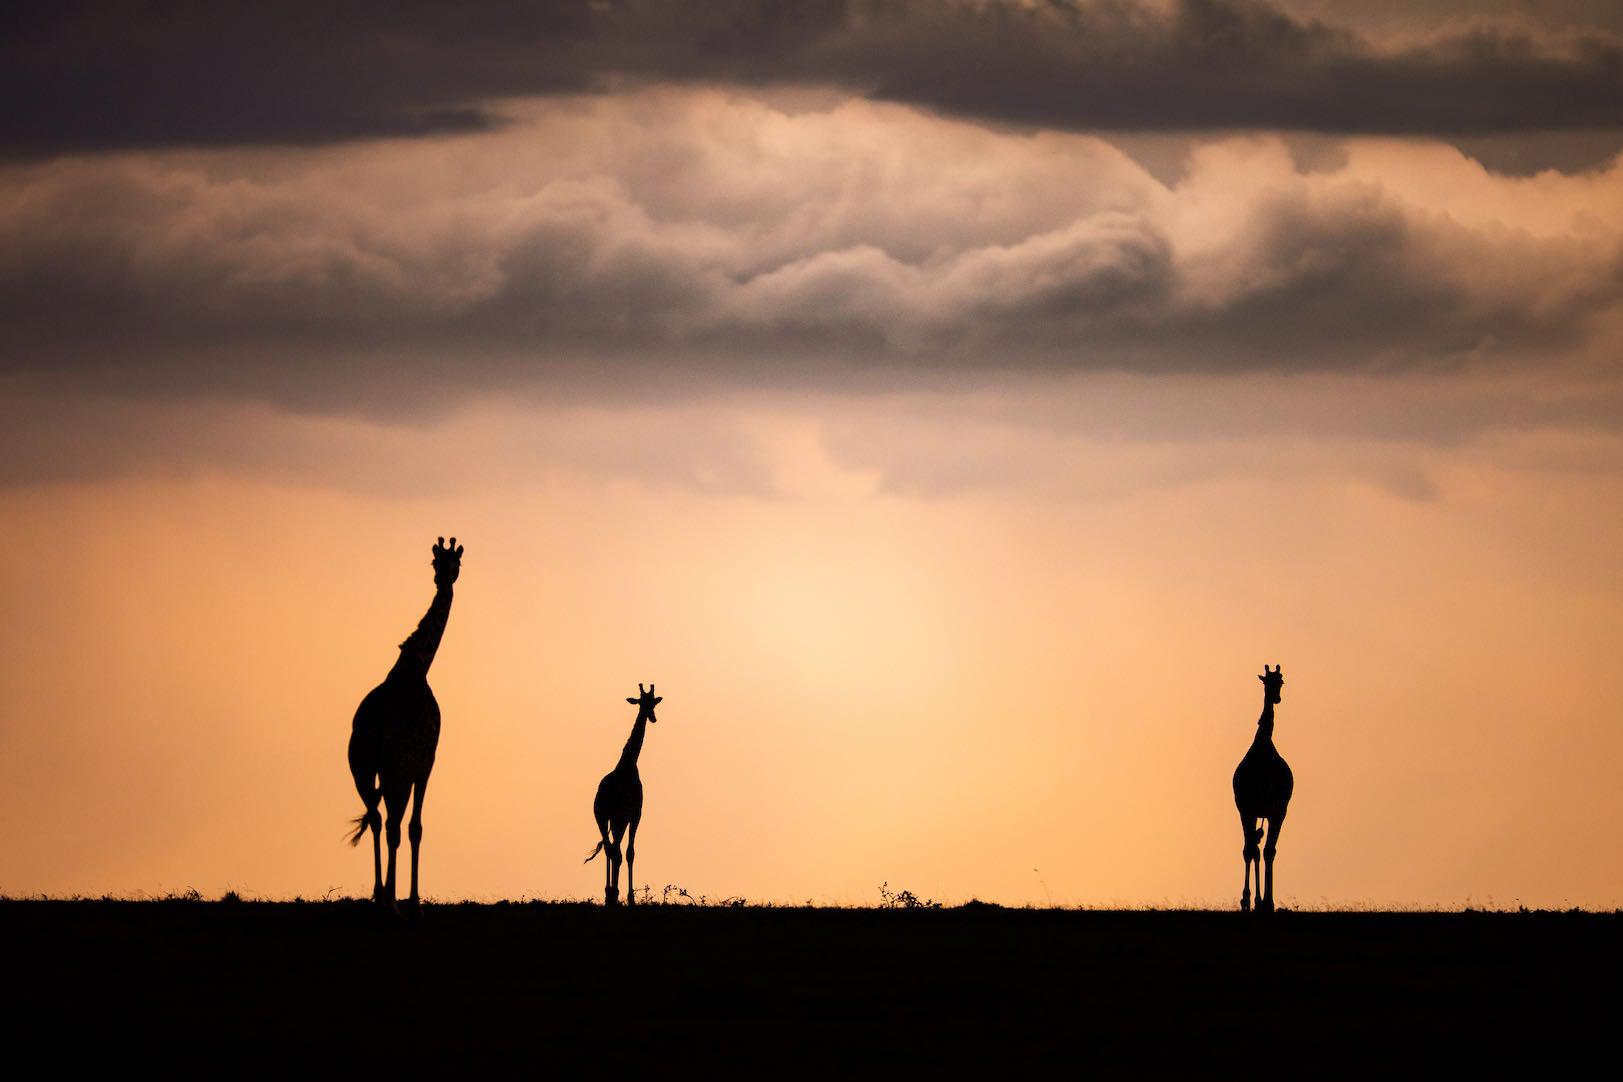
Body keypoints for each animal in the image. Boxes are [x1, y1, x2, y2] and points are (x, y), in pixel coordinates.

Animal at [346, 536, 463, 913]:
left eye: (455, 563)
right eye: (435, 562)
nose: (444, 580)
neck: (414, 668)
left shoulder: (418, 765)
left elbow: (412, 827)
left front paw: (408, 898)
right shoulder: (415, 762)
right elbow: (407, 828)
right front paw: (405, 901)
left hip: (379, 772)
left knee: (384, 820)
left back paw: (384, 894)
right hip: (375, 769)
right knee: (385, 822)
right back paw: (385, 897)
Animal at [584, 683, 661, 906]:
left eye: (653, 703)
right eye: (642, 702)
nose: (652, 718)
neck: (628, 766)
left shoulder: (630, 815)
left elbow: (626, 852)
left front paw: (625, 895)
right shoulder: (628, 814)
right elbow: (623, 853)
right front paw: (623, 896)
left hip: (611, 819)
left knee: (612, 848)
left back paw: (611, 893)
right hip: (608, 818)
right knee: (612, 849)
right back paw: (611, 893)